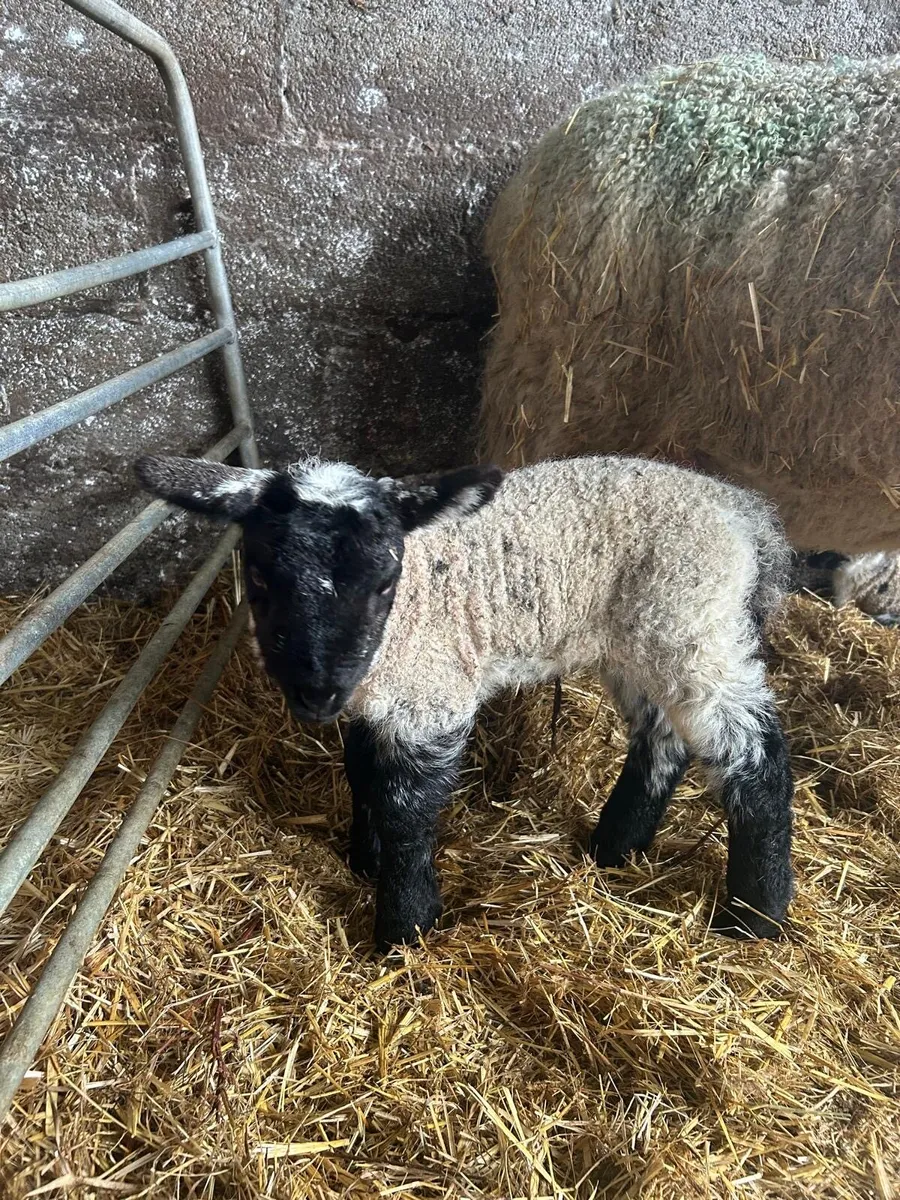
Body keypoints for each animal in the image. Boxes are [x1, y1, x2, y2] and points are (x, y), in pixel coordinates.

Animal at [135, 450, 795, 951]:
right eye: (260, 577)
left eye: (384, 581)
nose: (316, 691)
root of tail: (746, 514)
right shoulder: (377, 695)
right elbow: (362, 773)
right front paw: (365, 860)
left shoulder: (430, 694)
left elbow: (405, 807)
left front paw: (405, 926)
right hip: (642, 640)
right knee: (662, 741)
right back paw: (616, 849)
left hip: (693, 620)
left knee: (756, 756)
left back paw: (755, 915)